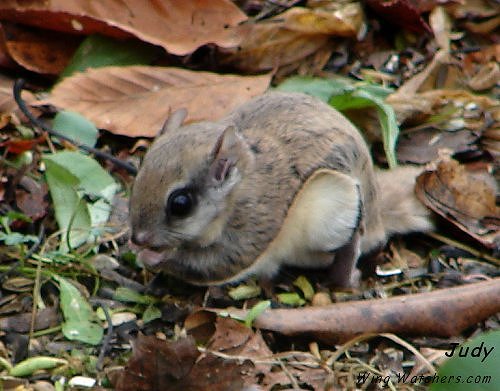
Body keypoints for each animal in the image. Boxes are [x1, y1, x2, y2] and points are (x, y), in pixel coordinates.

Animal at [129, 92, 434, 288]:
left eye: (180, 204)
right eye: (138, 173)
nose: (138, 238)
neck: (237, 186)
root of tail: (377, 212)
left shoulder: (253, 221)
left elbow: (220, 262)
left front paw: (153, 256)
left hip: (333, 202)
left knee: (354, 240)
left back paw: (346, 277)